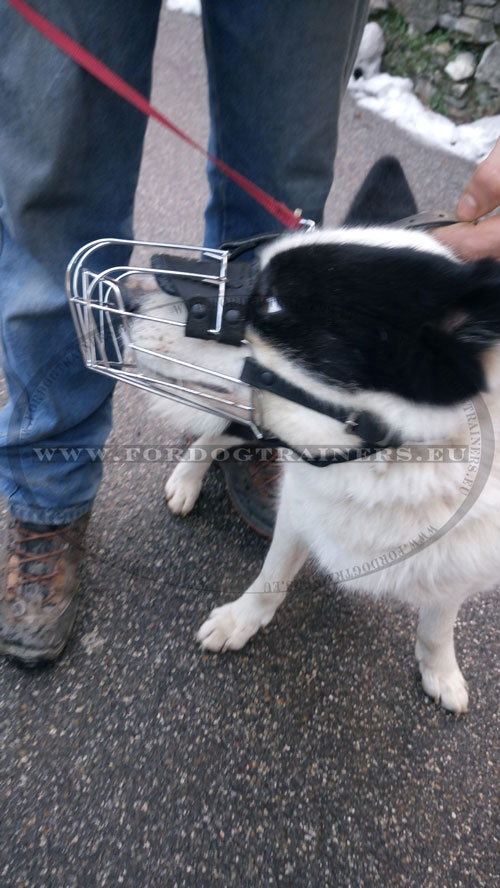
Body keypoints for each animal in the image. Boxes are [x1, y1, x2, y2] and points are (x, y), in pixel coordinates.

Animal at [132, 161, 500, 716]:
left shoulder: (461, 562)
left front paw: (441, 671)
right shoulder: (299, 509)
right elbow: (271, 577)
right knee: (212, 436)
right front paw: (241, 620)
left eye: (272, 303)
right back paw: (187, 480)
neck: (393, 468)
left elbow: (439, 622)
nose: (131, 300)